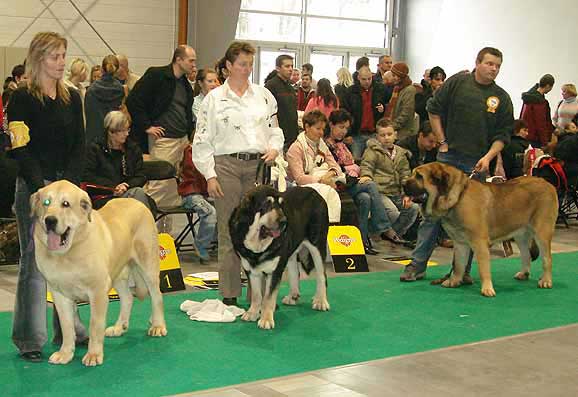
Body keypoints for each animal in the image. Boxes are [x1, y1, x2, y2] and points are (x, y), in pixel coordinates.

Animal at [400, 162, 560, 296]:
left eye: (419, 176)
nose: (402, 184)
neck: (458, 198)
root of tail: (548, 184)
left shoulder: (479, 242)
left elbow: (483, 267)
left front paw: (487, 288)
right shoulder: (460, 243)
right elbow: (458, 264)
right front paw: (454, 281)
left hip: (542, 231)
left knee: (547, 258)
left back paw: (546, 281)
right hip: (521, 234)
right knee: (526, 254)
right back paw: (523, 274)